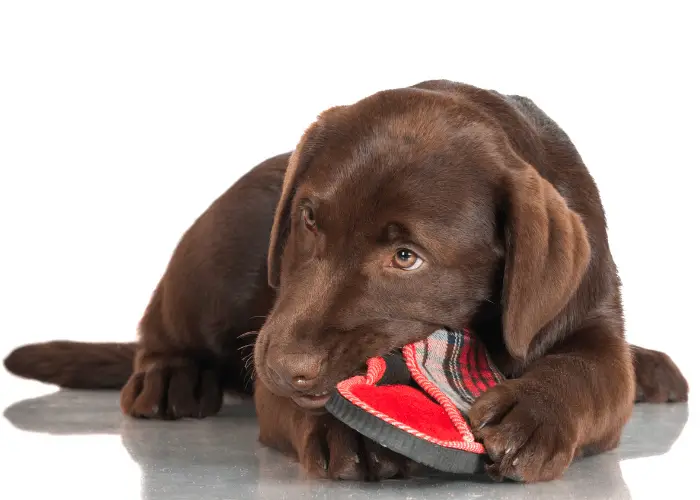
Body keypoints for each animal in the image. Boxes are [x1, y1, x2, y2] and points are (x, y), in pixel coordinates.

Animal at [1, 80, 688, 482]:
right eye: (309, 218)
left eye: (406, 257)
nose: (280, 367)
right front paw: (344, 429)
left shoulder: (589, 316)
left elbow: (592, 371)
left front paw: (534, 413)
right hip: (217, 249)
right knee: (161, 325)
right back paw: (172, 375)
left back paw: (654, 367)